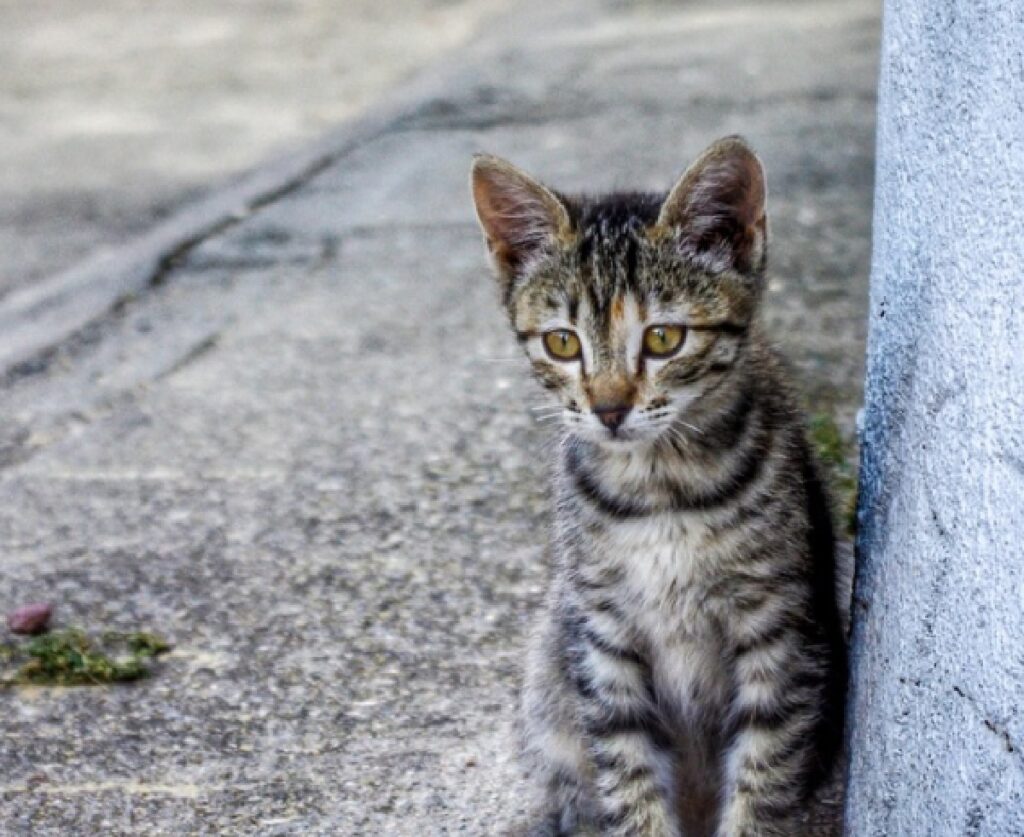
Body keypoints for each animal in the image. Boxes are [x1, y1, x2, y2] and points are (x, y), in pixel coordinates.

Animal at [471, 138, 847, 835]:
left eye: (664, 338)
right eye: (562, 343)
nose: (609, 410)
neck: (660, 489)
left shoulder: (778, 628)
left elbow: (765, 769)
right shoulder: (603, 635)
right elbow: (628, 771)